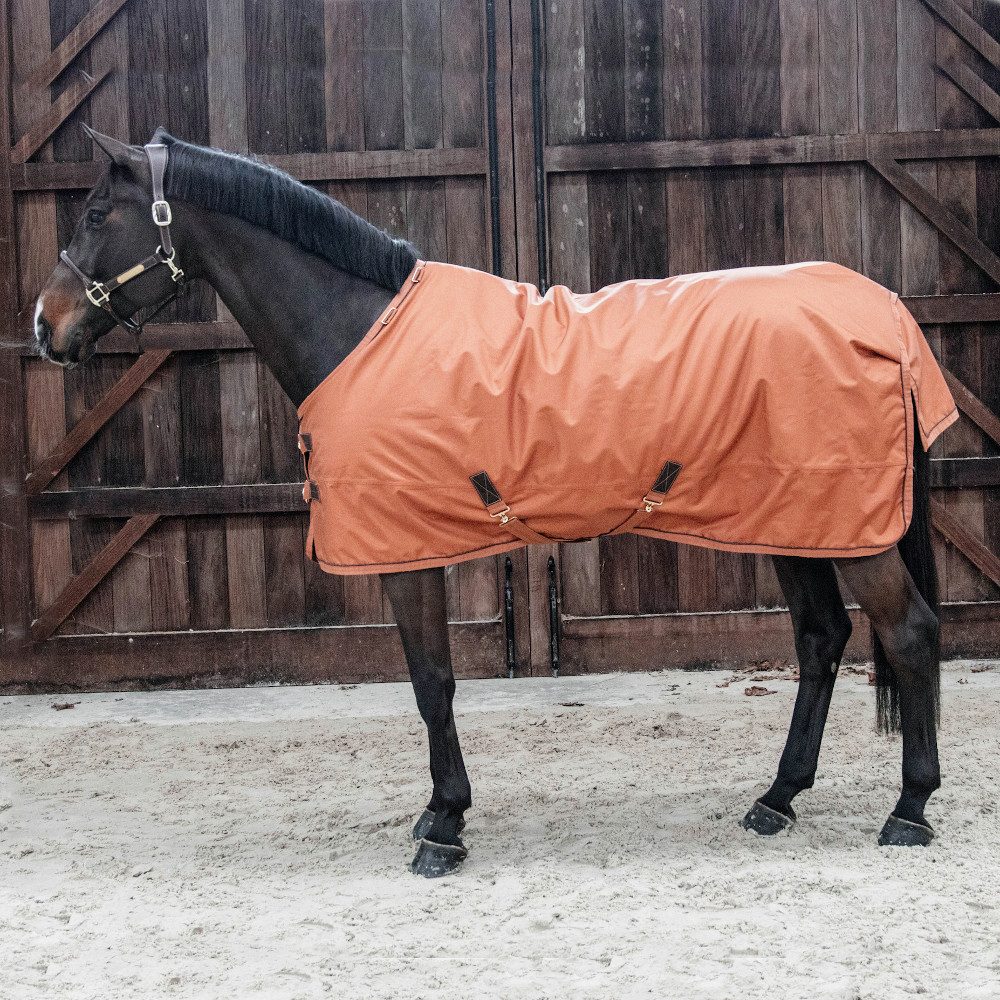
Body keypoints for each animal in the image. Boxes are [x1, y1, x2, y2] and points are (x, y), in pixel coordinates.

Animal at [34, 127, 953, 878]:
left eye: (96, 213)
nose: (45, 327)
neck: (362, 331)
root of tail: (884, 314)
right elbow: (432, 683)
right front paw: (439, 814)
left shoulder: (408, 551)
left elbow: (432, 682)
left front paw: (443, 826)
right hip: (796, 520)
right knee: (821, 638)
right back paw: (777, 798)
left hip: (850, 529)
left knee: (908, 632)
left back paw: (909, 811)